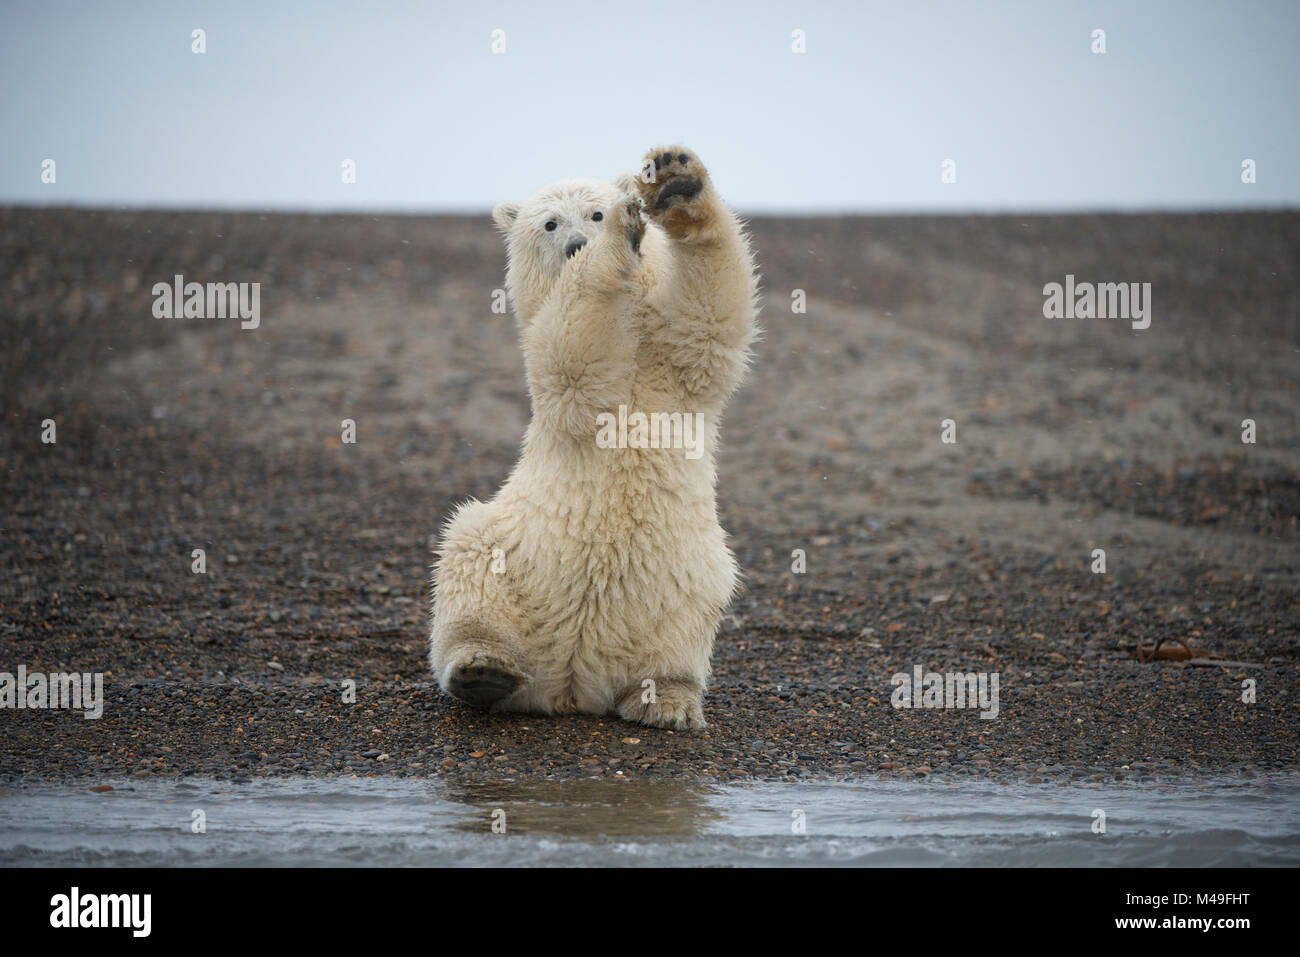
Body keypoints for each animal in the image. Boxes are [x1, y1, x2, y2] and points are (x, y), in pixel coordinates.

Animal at [427, 146, 759, 730]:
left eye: (594, 213)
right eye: (550, 223)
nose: (577, 243)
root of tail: (572, 685)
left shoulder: (672, 364)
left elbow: (708, 320)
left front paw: (677, 181)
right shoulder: (556, 361)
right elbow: (573, 359)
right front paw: (611, 247)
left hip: (691, 584)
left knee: (678, 641)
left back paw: (667, 701)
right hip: (507, 556)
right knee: (468, 570)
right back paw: (482, 671)